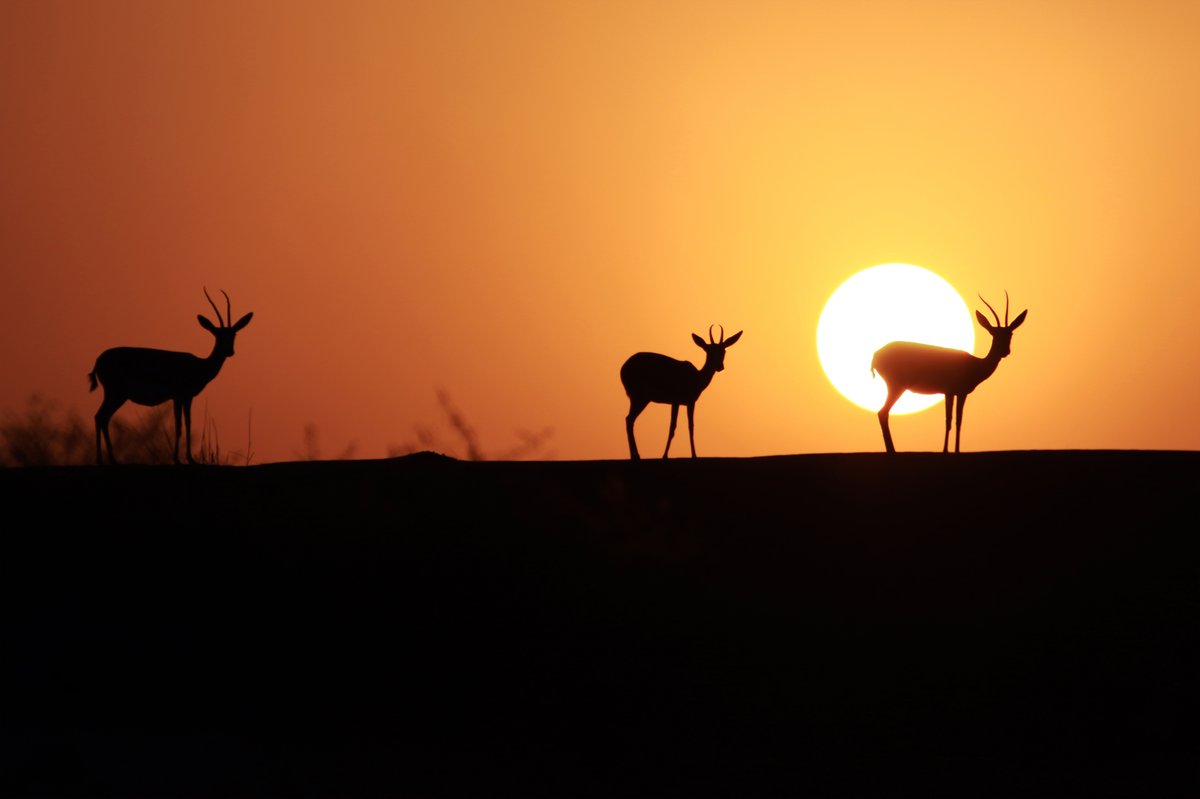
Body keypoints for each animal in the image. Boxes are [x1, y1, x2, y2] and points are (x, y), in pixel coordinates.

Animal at [88, 288, 253, 465]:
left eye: (234, 335)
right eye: (218, 335)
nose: (230, 351)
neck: (199, 365)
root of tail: (98, 360)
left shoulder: (184, 397)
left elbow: (186, 423)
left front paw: (188, 458)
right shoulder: (180, 396)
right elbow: (179, 425)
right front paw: (180, 459)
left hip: (117, 395)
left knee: (102, 418)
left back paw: (109, 459)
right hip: (116, 393)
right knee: (100, 416)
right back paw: (104, 460)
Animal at [620, 325, 743, 460]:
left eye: (723, 351)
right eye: (709, 351)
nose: (720, 367)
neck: (696, 378)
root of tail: (623, 368)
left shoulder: (688, 402)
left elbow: (690, 426)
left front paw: (693, 454)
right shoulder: (678, 401)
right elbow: (673, 426)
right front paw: (665, 455)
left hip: (639, 398)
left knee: (629, 420)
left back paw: (634, 456)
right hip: (640, 398)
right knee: (629, 419)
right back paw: (636, 455)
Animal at [871, 293, 1026, 453]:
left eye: (1010, 333)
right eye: (993, 333)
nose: (1005, 351)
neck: (975, 364)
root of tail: (876, 355)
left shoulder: (954, 392)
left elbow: (957, 420)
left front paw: (954, 449)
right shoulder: (955, 392)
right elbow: (951, 420)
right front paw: (948, 450)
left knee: (883, 413)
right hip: (897, 386)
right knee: (882, 412)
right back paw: (892, 450)